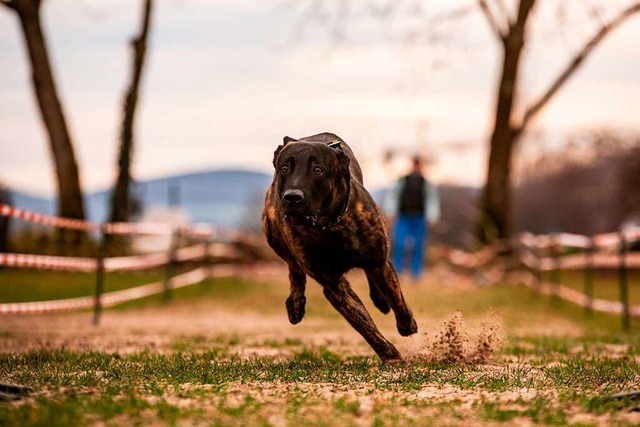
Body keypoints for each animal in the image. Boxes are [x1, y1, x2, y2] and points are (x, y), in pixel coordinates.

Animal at [262, 132, 418, 362]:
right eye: (284, 168)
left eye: (318, 170)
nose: (292, 197)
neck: (330, 225)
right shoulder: (334, 285)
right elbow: (364, 325)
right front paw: (390, 354)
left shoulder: (378, 262)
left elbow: (397, 300)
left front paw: (407, 326)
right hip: (272, 232)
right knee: (294, 267)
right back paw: (296, 304)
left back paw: (380, 301)